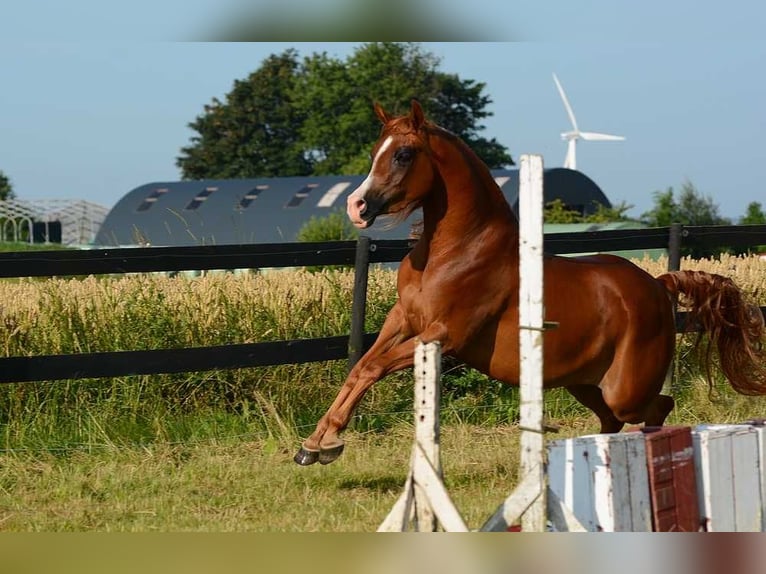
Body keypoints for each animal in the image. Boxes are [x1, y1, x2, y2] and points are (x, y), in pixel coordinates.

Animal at [292, 100, 764, 468]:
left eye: (405, 154)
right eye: (377, 151)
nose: (356, 206)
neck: (455, 251)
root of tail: (658, 284)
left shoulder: (444, 334)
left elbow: (373, 367)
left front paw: (327, 443)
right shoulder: (403, 321)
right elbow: (360, 367)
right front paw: (315, 444)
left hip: (624, 387)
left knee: (658, 407)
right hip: (586, 383)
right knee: (614, 420)